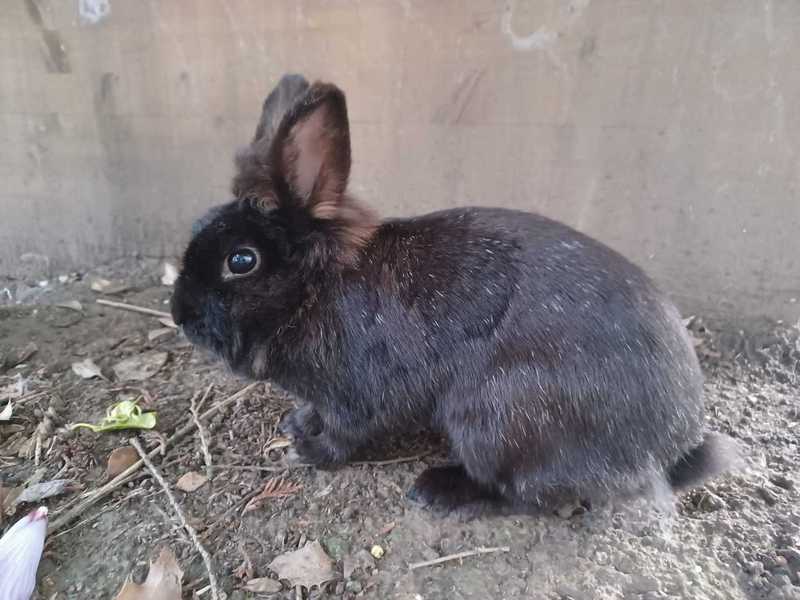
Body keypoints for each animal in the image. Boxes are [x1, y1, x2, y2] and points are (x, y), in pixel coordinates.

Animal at [171, 73, 735, 513]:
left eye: (241, 261)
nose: (179, 315)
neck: (313, 290)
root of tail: (667, 454)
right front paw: (297, 423)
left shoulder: (360, 395)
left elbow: (346, 434)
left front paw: (310, 452)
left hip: (496, 418)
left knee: (525, 494)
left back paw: (436, 489)